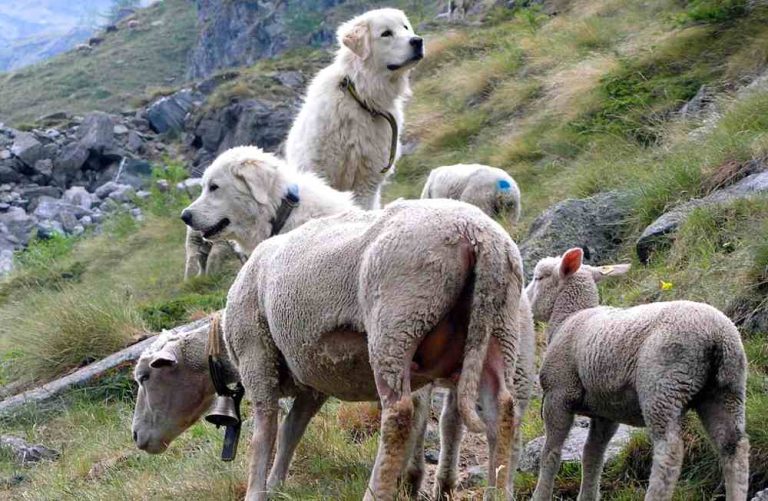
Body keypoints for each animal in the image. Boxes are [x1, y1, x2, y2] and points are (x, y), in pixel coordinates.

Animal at [172, 144, 528, 496]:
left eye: (214, 186)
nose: (185, 216)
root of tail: (478, 236)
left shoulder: (261, 352)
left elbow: (266, 432)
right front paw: (411, 480)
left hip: (397, 324)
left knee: (399, 414)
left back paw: (379, 489)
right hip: (495, 329)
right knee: (500, 410)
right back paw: (495, 489)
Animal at [284, 9, 424, 209]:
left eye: (405, 27)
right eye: (386, 33)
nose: (418, 41)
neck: (361, 98)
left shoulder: (367, 182)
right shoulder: (322, 172)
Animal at [524, 247, 748, 500]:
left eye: (538, 278)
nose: (524, 301)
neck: (569, 317)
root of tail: (716, 335)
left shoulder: (558, 394)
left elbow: (551, 453)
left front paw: (540, 495)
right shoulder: (606, 410)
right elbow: (592, 456)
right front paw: (588, 495)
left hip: (663, 387)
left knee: (669, 451)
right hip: (728, 388)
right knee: (733, 448)